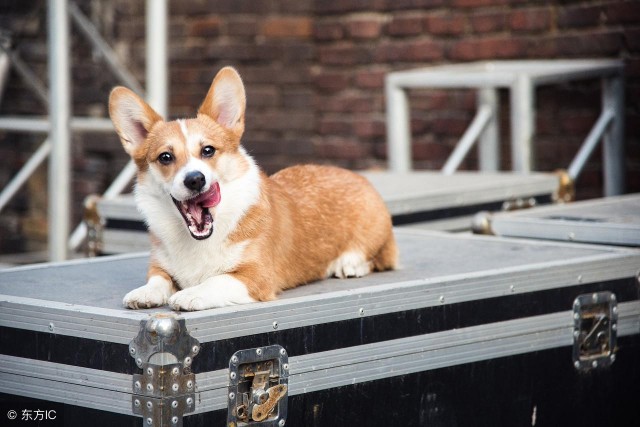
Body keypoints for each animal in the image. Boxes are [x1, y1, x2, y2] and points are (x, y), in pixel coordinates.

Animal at [108, 68, 398, 312]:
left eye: (208, 150)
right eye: (166, 157)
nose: (195, 180)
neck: (198, 241)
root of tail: (357, 176)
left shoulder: (256, 276)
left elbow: (217, 280)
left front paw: (191, 293)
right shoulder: (160, 265)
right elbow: (158, 278)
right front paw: (145, 292)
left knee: (375, 256)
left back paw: (349, 263)